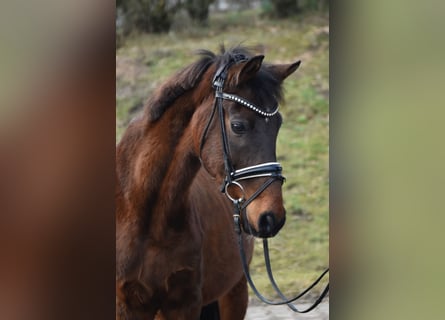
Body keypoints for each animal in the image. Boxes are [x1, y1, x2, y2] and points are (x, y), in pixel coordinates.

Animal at [116, 45, 300, 320]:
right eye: (238, 126)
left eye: (278, 126)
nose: (271, 217)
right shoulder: (127, 306)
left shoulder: (185, 304)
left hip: (235, 293)